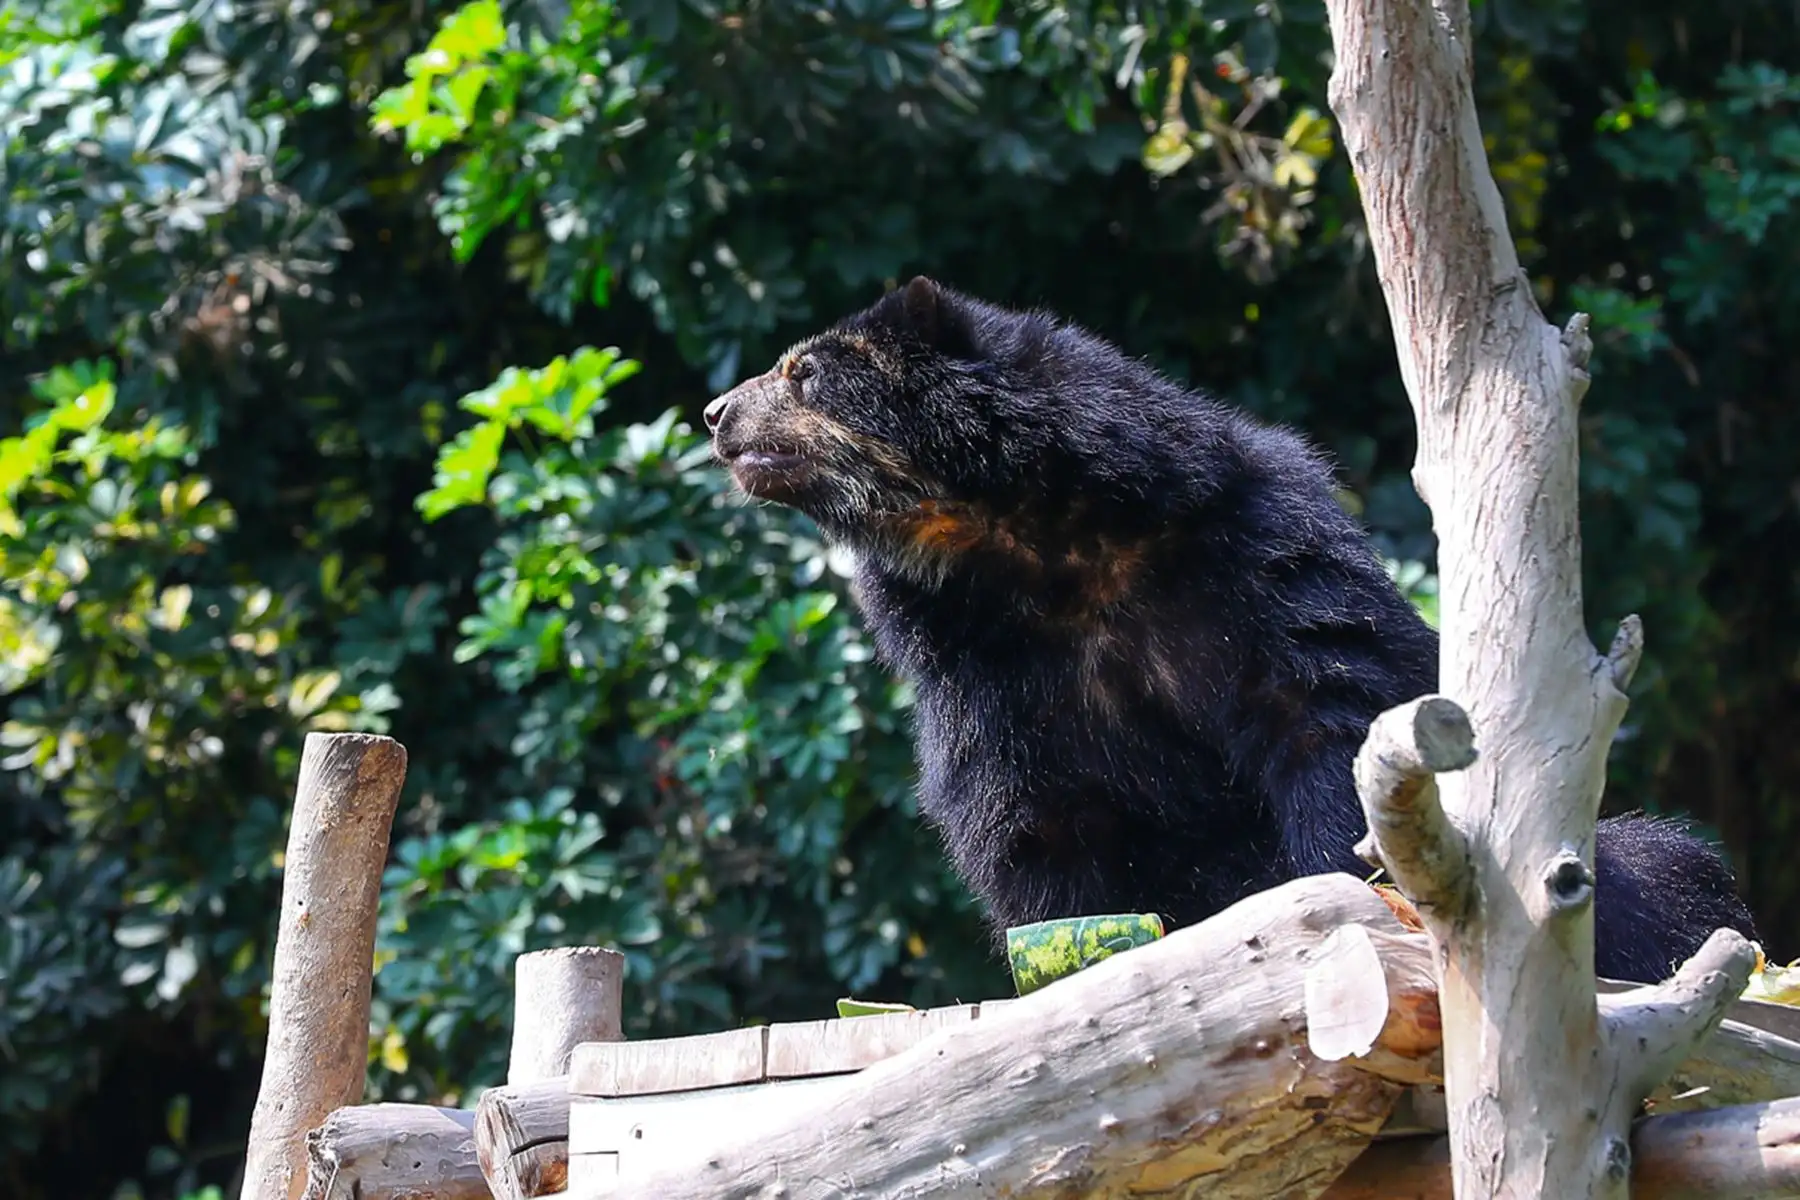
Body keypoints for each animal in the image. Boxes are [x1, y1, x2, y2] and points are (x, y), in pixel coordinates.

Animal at [702, 275, 1760, 985]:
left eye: (802, 371)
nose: (714, 413)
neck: (1027, 539)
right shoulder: (976, 667)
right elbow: (1031, 817)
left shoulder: (1255, 559)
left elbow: (1330, 711)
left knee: (1669, 872)